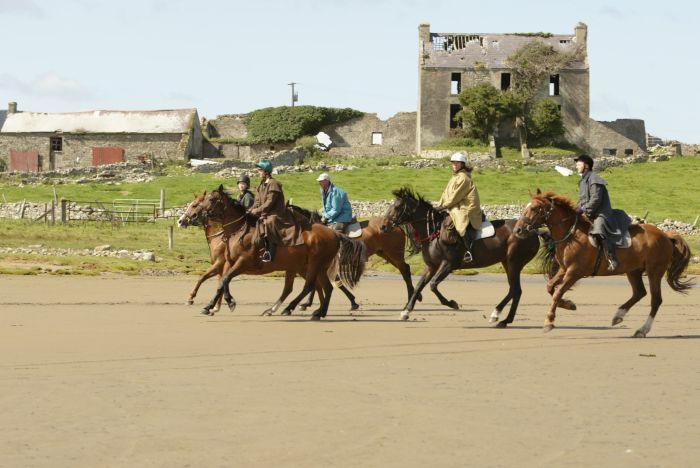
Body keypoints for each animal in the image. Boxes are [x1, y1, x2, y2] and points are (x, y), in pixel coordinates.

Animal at [198, 185, 370, 320]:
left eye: (212, 200)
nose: (199, 214)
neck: (239, 230)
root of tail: (334, 233)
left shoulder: (243, 262)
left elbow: (225, 280)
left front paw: (226, 302)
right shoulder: (229, 263)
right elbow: (222, 282)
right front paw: (213, 305)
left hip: (314, 265)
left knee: (310, 286)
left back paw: (291, 308)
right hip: (316, 267)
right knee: (324, 287)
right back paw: (318, 312)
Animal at [284, 204, 422, 308]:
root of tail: (395, 225)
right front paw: (307, 302)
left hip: (394, 254)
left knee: (405, 270)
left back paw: (411, 298)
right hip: (386, 254)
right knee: (405, 270)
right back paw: (415, 296)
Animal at [380, 185, 540, 324]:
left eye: (396, 207)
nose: (382, 227)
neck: (435, 232)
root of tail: (532, 231)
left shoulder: (447, 265)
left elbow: (433, 285)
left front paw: (452, 303)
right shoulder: (431, 266)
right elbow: (419, 285)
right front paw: (406, 311)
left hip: (514, 263)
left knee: (515, 290)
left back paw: (500, 316)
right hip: (507, 263)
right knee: (515, 290)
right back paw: (499, 315)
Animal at [516, 190, 696, 336]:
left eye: (534, 208)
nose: (518, 230)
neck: (572, 234)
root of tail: (666, 235)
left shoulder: (574, 272)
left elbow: (558, 292)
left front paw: (549, 321)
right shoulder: (564, 269)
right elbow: (550, 288)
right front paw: (568, 304)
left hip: (654, 272)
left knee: (655, 300)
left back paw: (642, 330)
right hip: (633, 271)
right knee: (639, 293)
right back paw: (618, 316)